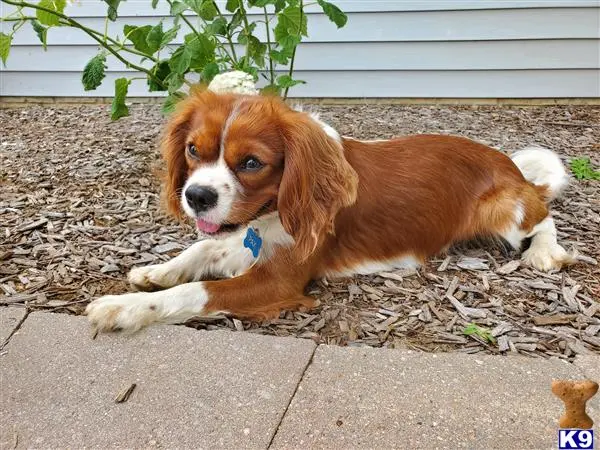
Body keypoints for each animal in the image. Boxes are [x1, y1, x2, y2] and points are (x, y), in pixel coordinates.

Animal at [86, 89, 576, 332]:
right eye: (192, 150)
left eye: (252, 163)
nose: (197, 196)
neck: (271, 212)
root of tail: (510, 165)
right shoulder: (249, 240)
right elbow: (201, 251)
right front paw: (154, 272)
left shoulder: (278, 281)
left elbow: (195, 292)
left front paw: (123, 308)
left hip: (505, 210)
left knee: (544, 215)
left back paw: (544, 253)